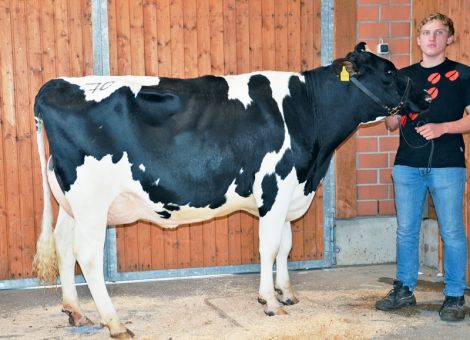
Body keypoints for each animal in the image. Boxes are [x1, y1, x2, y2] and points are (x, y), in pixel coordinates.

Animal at [33, 43, 430, 338]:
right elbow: (269, 246)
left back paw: (76, 312)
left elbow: (285, 245)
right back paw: (114, 323)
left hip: (70, 203)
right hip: (92, 202)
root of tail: (56, 85)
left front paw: (287, 293)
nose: (426, 96)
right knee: (87, 255)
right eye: (389, 72)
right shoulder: (275, 187)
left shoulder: (288, 193)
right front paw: (269, 302)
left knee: (64, 245)